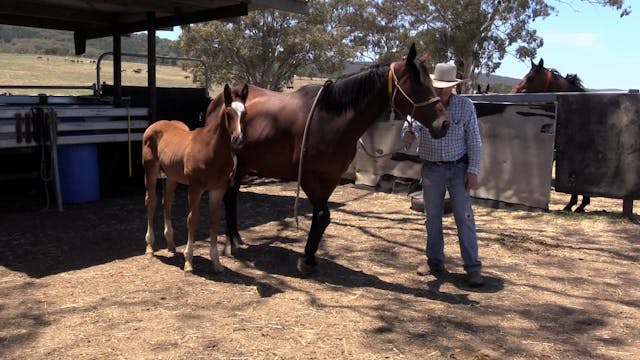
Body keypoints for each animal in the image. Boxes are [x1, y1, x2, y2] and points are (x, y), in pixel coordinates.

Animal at [142, 83, 250, 272]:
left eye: (245, 113)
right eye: (228, 113)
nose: (238, 139)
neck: (211, 150)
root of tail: (154, 126)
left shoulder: (218, 189)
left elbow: (214, 221)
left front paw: (216, 262)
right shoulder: (195, 187)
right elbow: (192, 220)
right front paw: (188, 261)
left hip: (172, 176)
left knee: (167, 202)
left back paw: (170, 244)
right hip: (151, 171)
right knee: (151, 201)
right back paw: (150, 247)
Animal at [208, 44, 448, 276]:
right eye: (418, 84)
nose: (444, 124)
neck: (330, 120)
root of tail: (220, 100)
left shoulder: (331, 177)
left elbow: (321, 216)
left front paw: (310, 258)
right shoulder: (309, 176)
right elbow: (323, 215)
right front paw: (306, 261)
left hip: (244, 163)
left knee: (232, 194)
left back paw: (236, 238)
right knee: (229, 195)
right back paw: (232, 241)